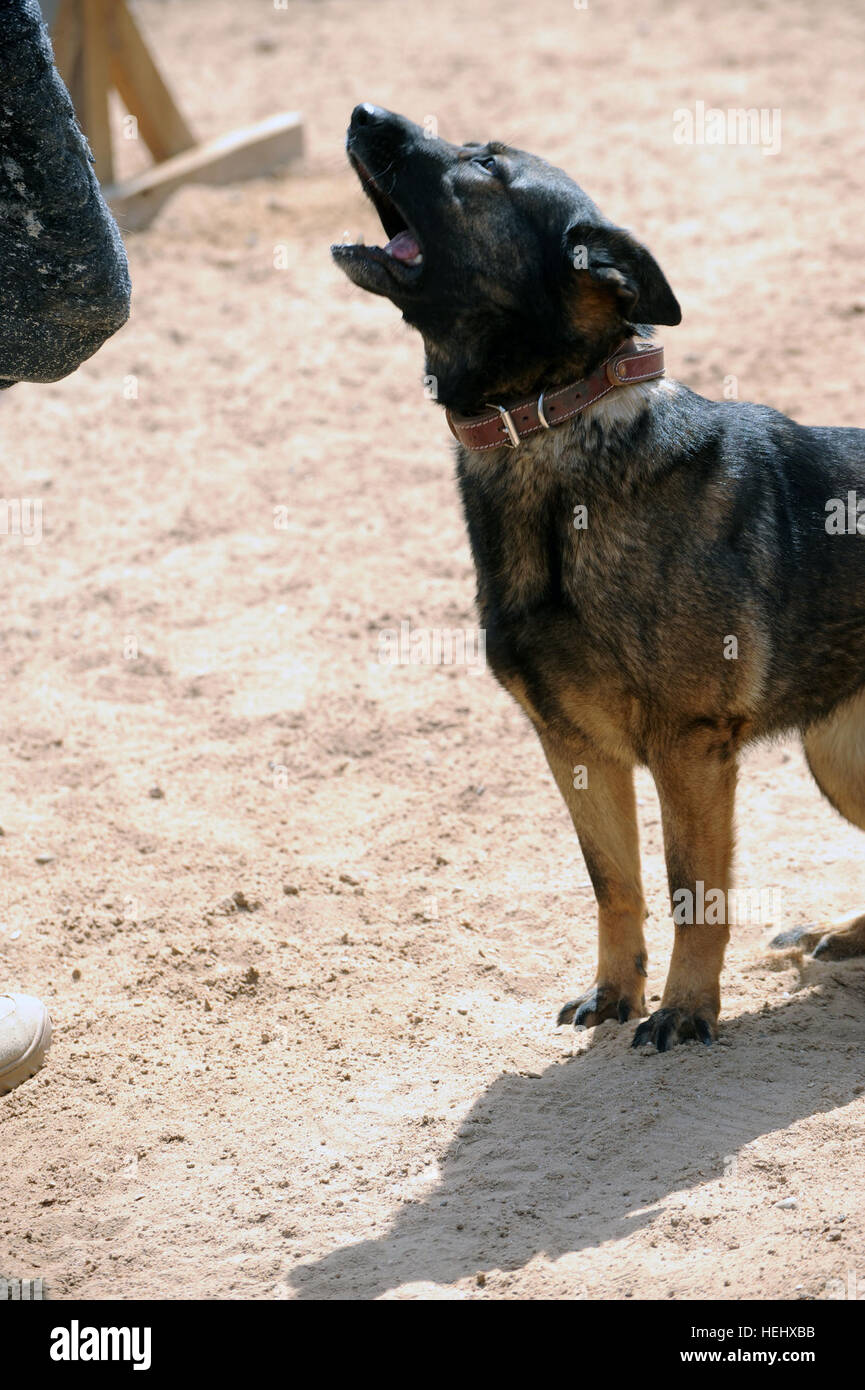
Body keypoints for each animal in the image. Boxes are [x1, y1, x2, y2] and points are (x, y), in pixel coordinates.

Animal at [335, 102, 865, 1045]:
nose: (364, 112)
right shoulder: (572, 747)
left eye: (483, 165)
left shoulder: (689, 748)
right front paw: (616, 994)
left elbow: (693, 892)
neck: (548, 424)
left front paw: (686, 1009)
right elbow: (612, 883)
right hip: (838, 755)